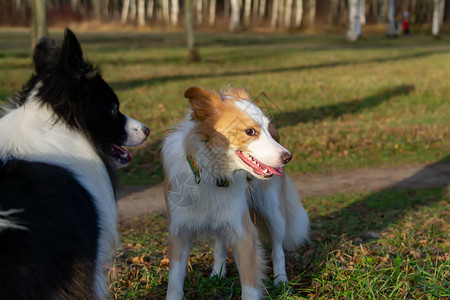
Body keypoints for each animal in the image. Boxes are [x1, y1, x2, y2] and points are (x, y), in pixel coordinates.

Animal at [162, 86, 310, 300]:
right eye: (250, 131)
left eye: (267, 128)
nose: (288, 157)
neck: (212, 175)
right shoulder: (179, 230)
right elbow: (174, 281)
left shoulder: (244, 233)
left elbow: (249, 286)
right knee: (220, 240)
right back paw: (218, 272)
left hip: (273, 212)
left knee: (278, 248)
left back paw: (281, 281)